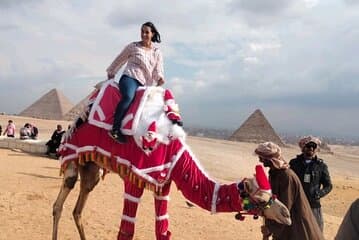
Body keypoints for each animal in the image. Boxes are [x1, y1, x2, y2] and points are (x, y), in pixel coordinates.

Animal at [52, 81, 292, 240]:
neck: (176, 158)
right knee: (59, 204)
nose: (287, 214)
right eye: (260, 198)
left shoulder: (163, 184)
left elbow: (163, 231)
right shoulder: (135, 177)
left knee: (78, 207)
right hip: (72, 154)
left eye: (272, 192)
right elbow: (127, 232)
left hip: (91, 166)